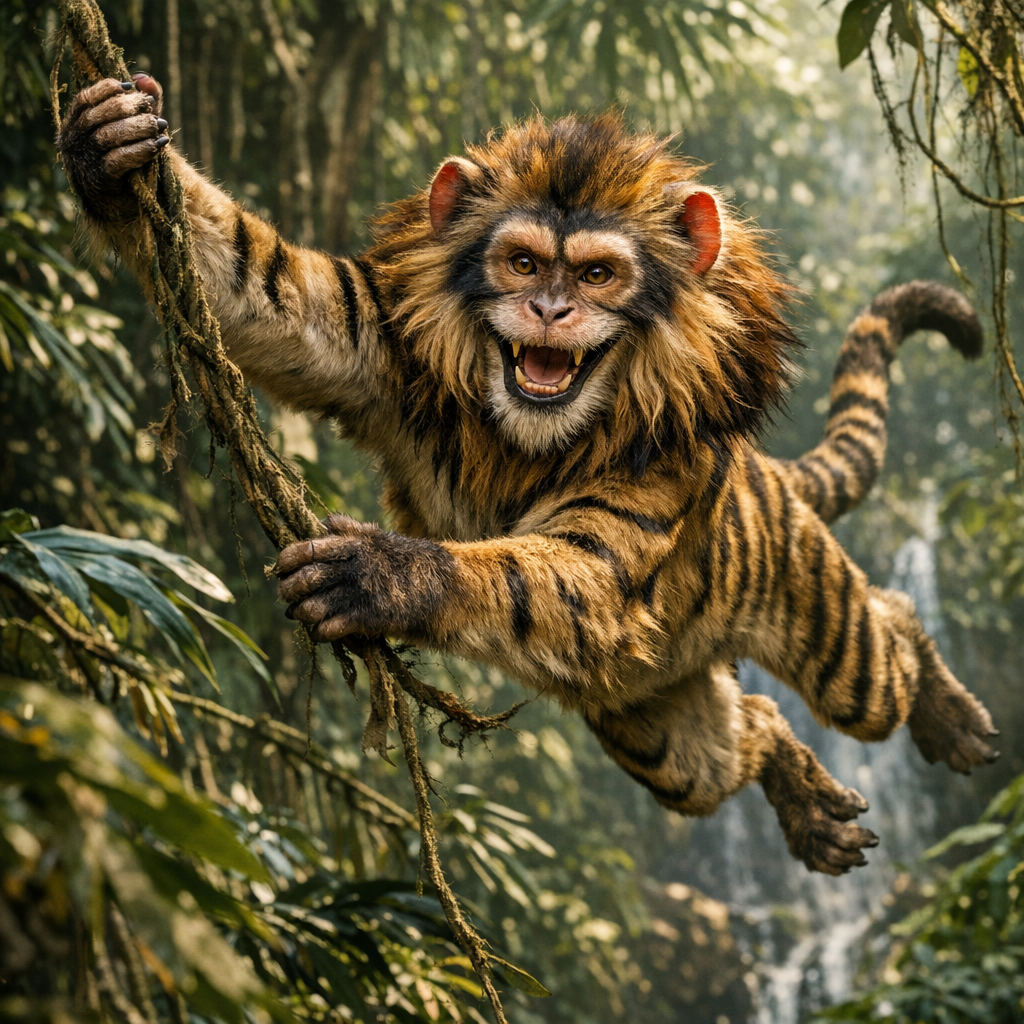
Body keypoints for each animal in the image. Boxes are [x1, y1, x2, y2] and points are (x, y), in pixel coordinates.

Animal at [55, 73, 998, 875]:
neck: (523, 434)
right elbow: (254, 275)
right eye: (522, 262)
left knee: (892, 632)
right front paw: (106, 142)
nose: (549, 309)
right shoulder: (363, 326)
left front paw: (373, 574)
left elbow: (515, 574)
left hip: (831, 642)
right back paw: (815, 814)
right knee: (754, 728)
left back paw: (955, 723)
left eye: (597, 273)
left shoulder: (620, 531)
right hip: (661, 730)